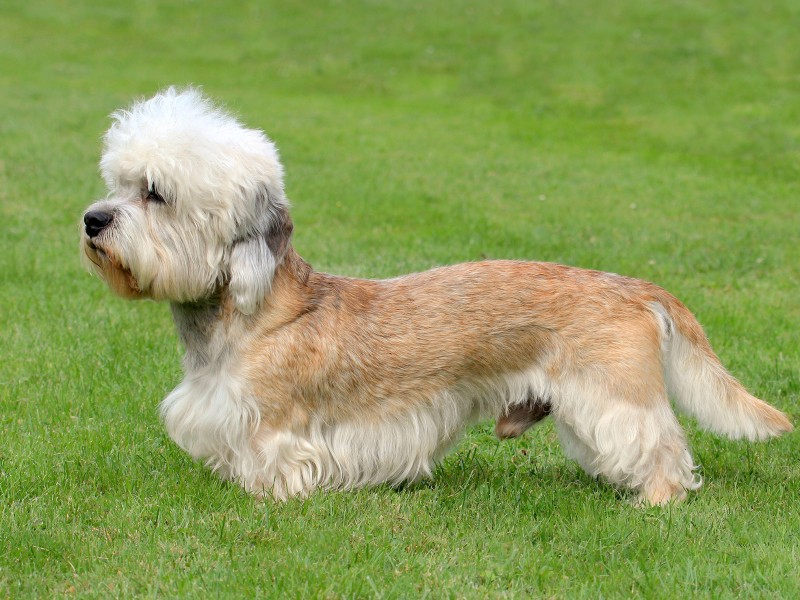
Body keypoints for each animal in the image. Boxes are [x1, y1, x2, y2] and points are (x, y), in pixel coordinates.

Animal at [78, 86, 792, 504]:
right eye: (116, 183)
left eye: (155, 193)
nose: (92, 220)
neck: (247, 317)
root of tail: (636, 288)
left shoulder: (277, 428)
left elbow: (276, 465)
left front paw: (271, 497)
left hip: (615, 398)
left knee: (661, 444)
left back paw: (658, 500)